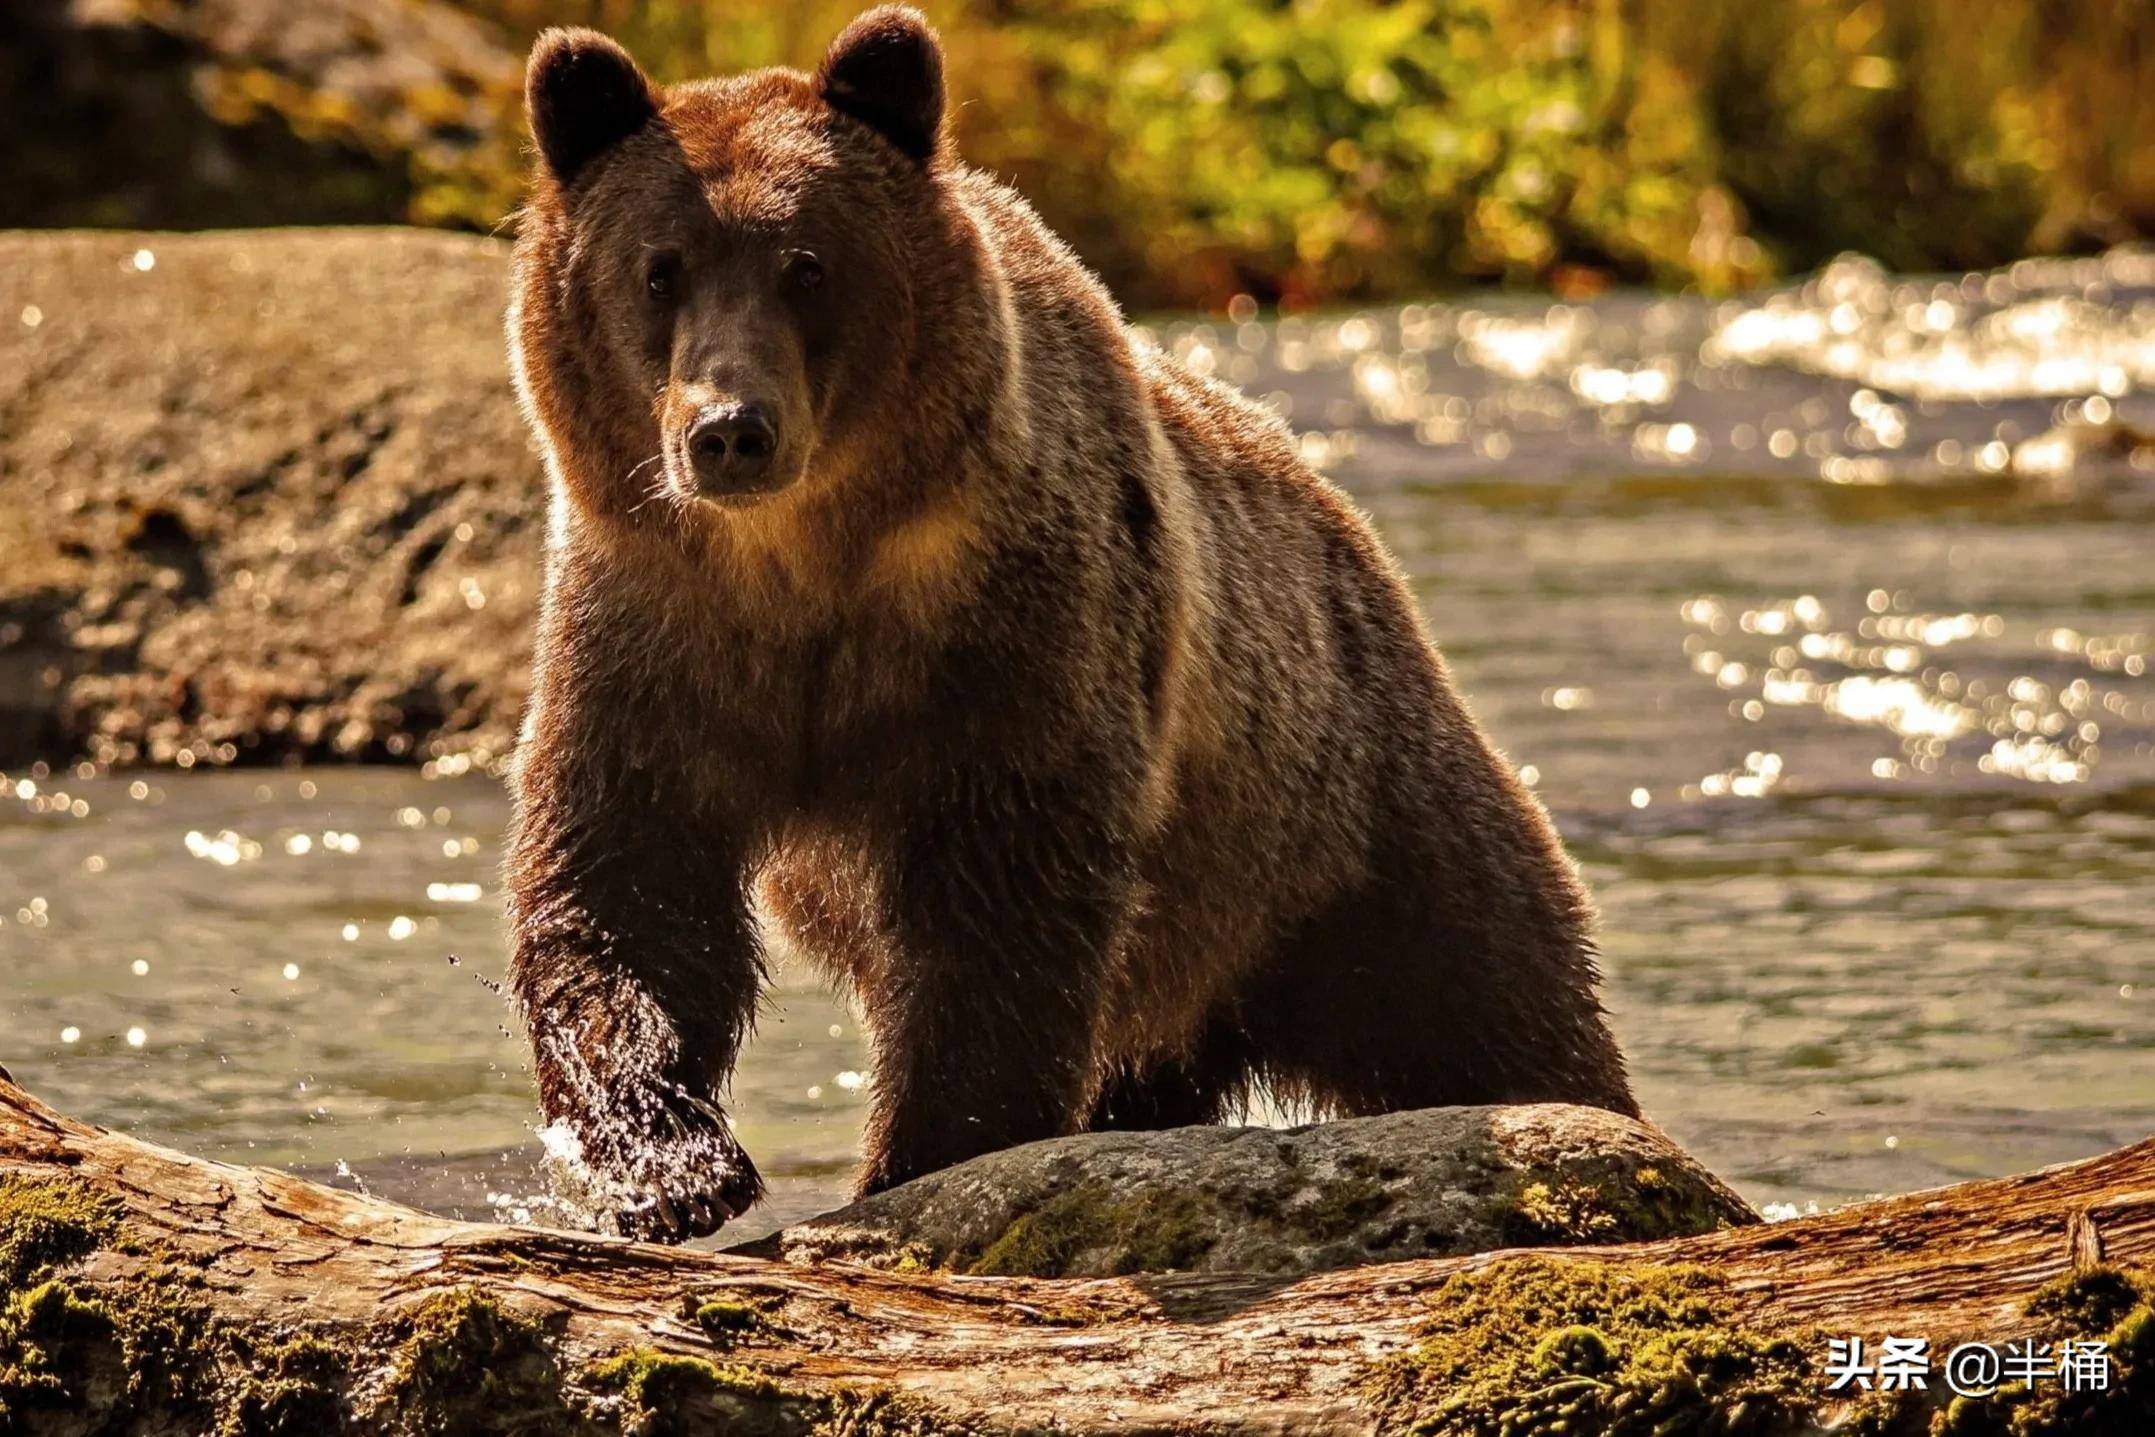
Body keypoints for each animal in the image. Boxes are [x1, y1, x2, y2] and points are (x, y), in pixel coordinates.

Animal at [504, 2, 1629, 1249]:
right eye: (659, 269)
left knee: (1487, 994)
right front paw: (669, 1164)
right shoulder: (655, 630)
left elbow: (999, 905)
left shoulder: (1013, 633)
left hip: (1342, 818)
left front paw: (921, 1155)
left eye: (806, 264)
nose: (730, 429)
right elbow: (626, 881)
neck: (805, 565)